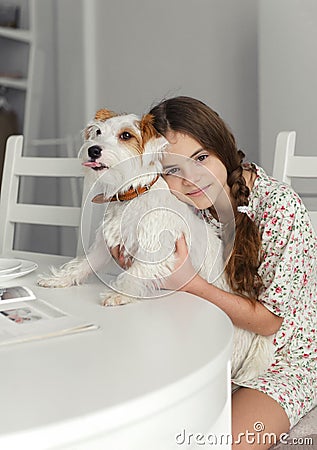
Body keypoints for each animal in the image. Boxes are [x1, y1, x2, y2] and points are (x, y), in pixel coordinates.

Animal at [37, 109, 274, 384]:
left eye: (126, 135)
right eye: (97, 132)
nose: (93, 150)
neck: (133, 195)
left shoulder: (157, 252)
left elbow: (135, 272)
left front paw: (119, 294)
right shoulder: (103, 248)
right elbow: (81, 265)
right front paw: (58, 280)